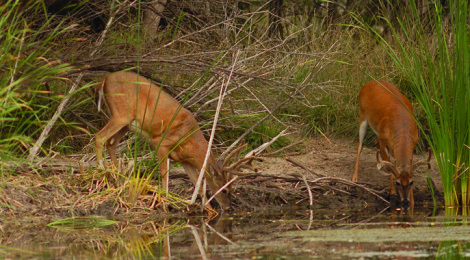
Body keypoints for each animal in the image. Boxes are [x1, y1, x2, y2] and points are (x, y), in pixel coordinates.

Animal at [94, 70, 255, 211]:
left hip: (127, 122)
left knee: (111, 142)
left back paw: (117, 175)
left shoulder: (184, 159)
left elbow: (198, 186)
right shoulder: (161, 143)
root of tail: (104, 79)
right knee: (99, 137)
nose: (229, 209)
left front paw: (209, 211)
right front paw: (165, 203)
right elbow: (165, 178)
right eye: (224, 190)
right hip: (120, 113)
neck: (190, 138)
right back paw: (103, 171)